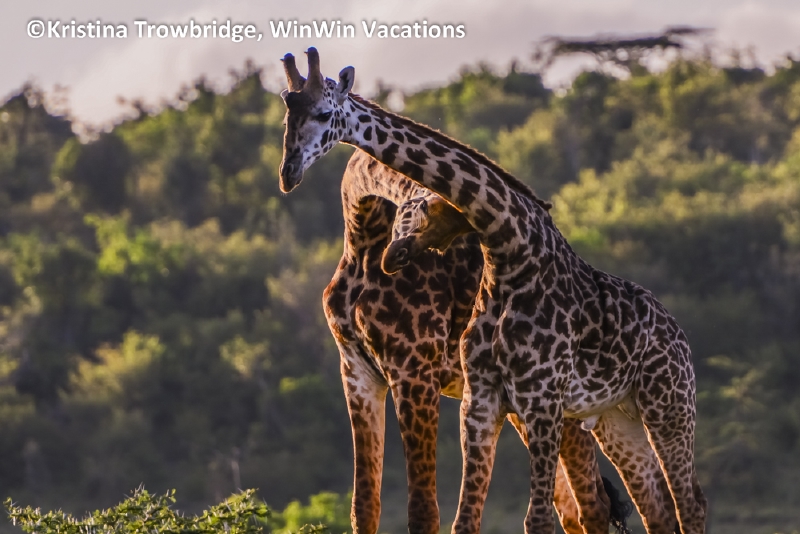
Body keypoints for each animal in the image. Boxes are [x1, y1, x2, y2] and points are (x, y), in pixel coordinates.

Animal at [328, 148, 626, 534]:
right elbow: (364, 506)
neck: (362, 243)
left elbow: (423, 509)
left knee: (592, 503)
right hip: (520, 407)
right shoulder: (357, 372)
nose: (395, 256)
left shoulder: (413, 368)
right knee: (572, 506)